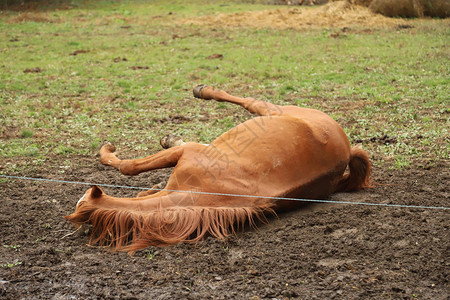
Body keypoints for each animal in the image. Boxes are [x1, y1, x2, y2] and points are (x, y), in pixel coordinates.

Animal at [65, 85, 370, 252]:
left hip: (272, 110)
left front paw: (108, 150)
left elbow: (128, 167)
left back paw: (202, 91)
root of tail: (346, 145)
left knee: (249, 101)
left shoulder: (186, 154)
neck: (207, 193)